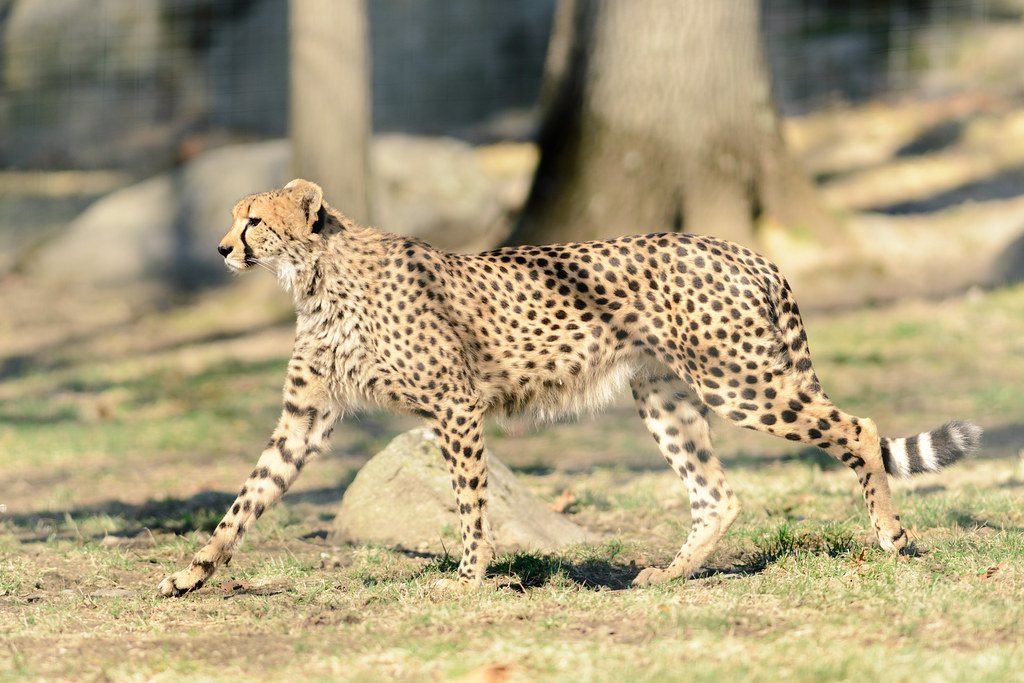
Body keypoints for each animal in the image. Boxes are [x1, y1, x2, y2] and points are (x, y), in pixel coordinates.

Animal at [158, 178, 982, 596]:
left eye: (253, 221)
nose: (223, 247)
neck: (315, 273)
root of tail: (742, 248)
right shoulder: (306, 416)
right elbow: (247, 497)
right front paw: (192, 571)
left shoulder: (455, 405)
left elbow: (471, 503)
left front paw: (468, 576)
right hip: (666, 396)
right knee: (717, 493)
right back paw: (669, 573)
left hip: (738, 380)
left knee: (857, 428)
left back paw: (890, 534)